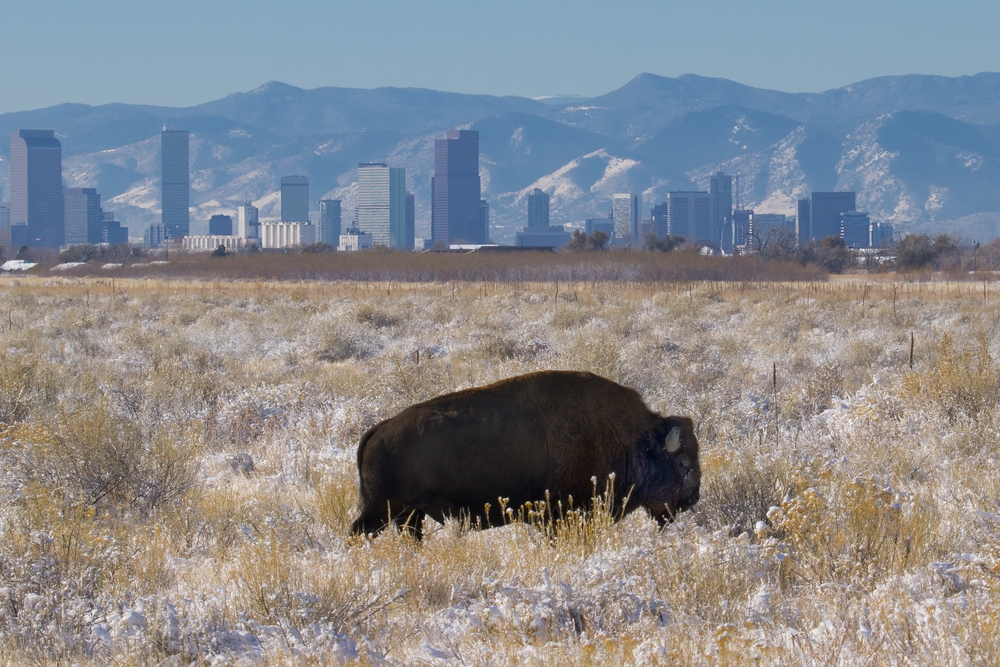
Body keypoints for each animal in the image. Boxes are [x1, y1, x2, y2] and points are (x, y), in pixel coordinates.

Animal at [352, 374, 704, 540]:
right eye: (683, 462)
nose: (693, 498)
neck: (631, 440)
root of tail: (380, 429)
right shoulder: (560, 514)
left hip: (410, 515)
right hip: (383, 509)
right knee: (357, 532)